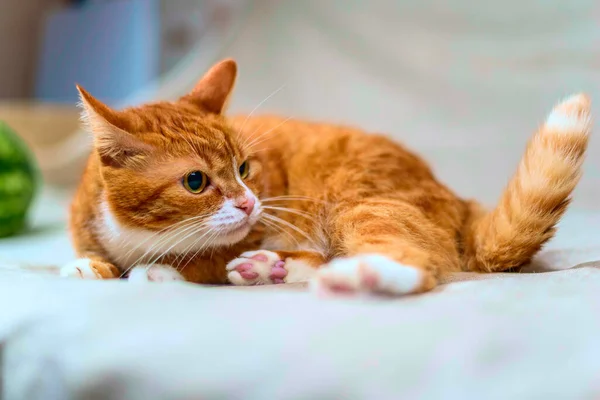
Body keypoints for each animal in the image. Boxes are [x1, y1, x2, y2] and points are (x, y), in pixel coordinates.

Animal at [62, 59, 592, 296]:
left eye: (244, 168)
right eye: (196, 182)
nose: (249, 203)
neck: (140, 236)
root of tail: (459, 200)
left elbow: (203, 260)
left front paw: (164, 269)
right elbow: (91, 257)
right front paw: (92, 266)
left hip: (360, 205)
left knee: (415, 260)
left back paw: (359, 274)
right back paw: (269, 269)